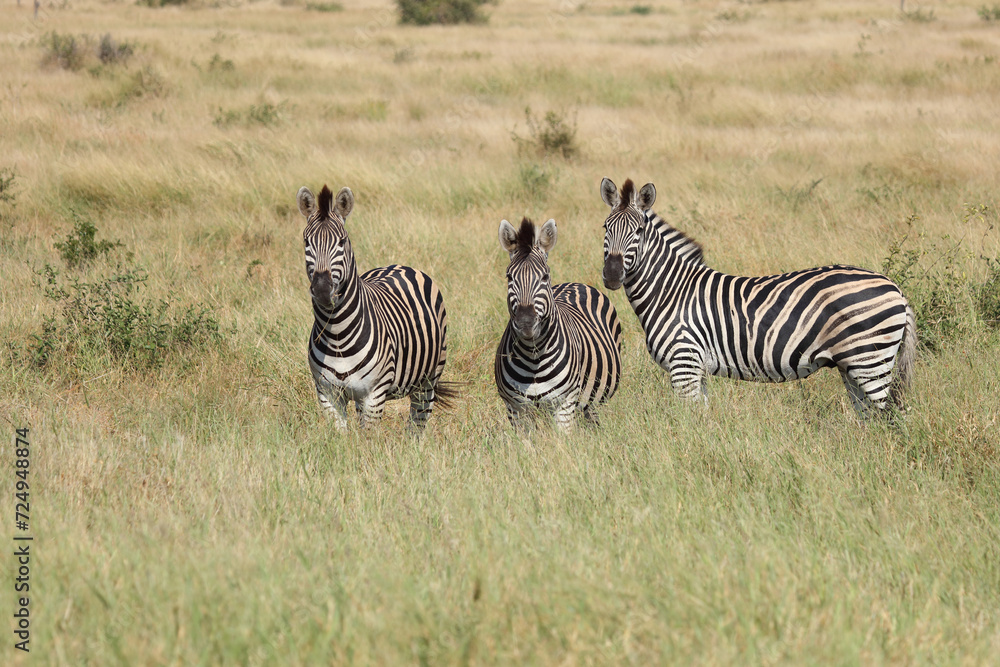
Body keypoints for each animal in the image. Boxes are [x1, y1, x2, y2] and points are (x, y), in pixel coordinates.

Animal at [296, 184, 456, 430]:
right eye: (307, 242)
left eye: (342, 241)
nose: (322, 289)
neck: (337, 334)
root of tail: (400, 265)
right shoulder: (328, 394)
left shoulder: (374, 395)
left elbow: (369, 438)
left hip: (428, 381)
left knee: (417, 425)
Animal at [494, 217, 623, 431]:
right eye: (509, 277)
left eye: (545, 276)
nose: (526, 323)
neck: (533, 357)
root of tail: (574, 283)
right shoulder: (515, 408)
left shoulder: (565, 404)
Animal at [599, 177, 917, 416]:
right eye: (605, 227)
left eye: (639, 230)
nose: (612, 274)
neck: (670, 291)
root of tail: (896, 288)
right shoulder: (696, 369)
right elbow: (703, 417)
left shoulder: (684, 363)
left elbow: (688, 420)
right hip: (852, 365)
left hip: (870, 360)